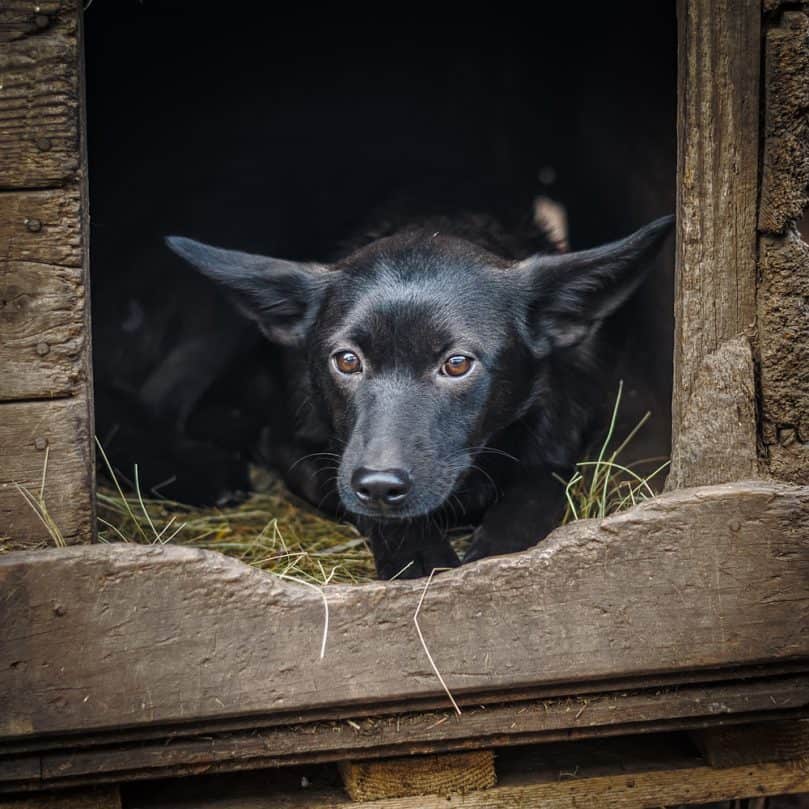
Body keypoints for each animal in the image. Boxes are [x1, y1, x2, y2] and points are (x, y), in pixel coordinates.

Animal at [167, 208, 672, 576]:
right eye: (346, 360)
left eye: (457, 364)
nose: (379, 485)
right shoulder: (292, 446)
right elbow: (347, 494)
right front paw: (418, 556)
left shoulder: (558, 445)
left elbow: (537, 490)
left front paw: (495, 552)